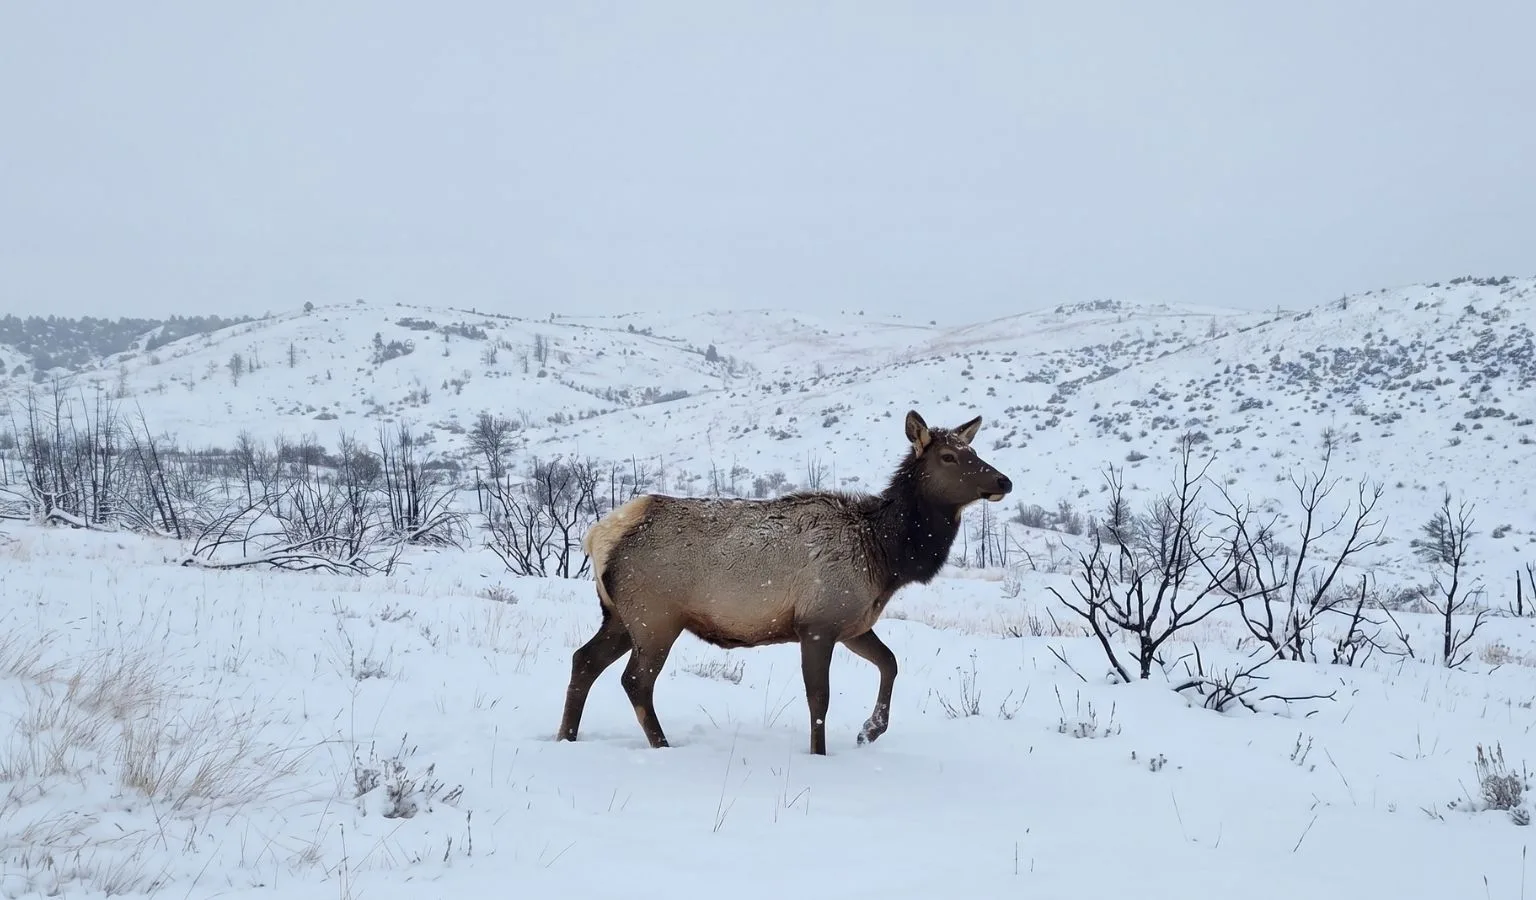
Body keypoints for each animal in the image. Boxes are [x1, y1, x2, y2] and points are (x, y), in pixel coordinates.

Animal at [556, 409, 1013, 755]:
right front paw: (821, 753)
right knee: (635, 681)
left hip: (620, 616)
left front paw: (869, 730)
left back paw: (565, 737)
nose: (1003, 481)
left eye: (974, 449)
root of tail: (598, 536)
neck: (886, 557)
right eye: (949, 456)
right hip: (656, 617)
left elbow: (890, 662)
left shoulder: (852, 623)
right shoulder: (818, 623)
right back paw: (661, 745)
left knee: (584, 660)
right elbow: (820, 697)